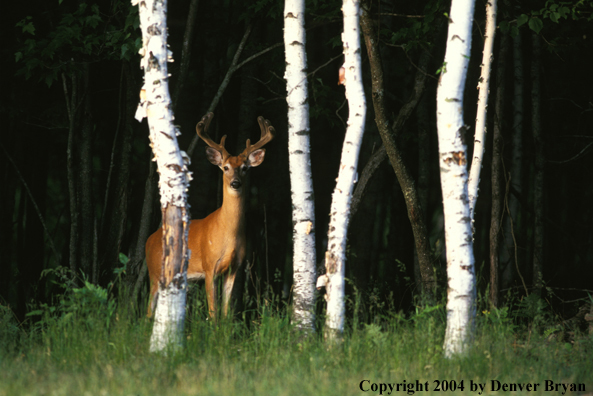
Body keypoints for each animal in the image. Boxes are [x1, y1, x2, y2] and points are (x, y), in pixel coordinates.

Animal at [145, 111, 274, 318]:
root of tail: (149, 240)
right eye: (225, 167)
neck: (228, 233)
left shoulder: (234, 268)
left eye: (245, 168)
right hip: (155, 272)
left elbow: (226, 311)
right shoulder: (209, 265)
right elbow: (213, 312)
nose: (235, 183)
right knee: (148, 310)